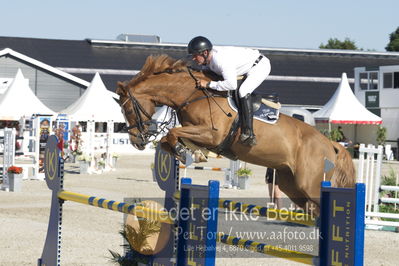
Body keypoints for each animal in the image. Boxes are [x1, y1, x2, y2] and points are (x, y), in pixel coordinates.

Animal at [115, 55, 356, 213]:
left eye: (128, 110)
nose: (136, 141)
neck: (192, 94)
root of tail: (331, 144)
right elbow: (168, 139)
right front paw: (191, 153)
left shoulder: (212, 134)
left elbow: (171, 134)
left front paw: (184, 153)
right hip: (292, 184)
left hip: (309, 184)